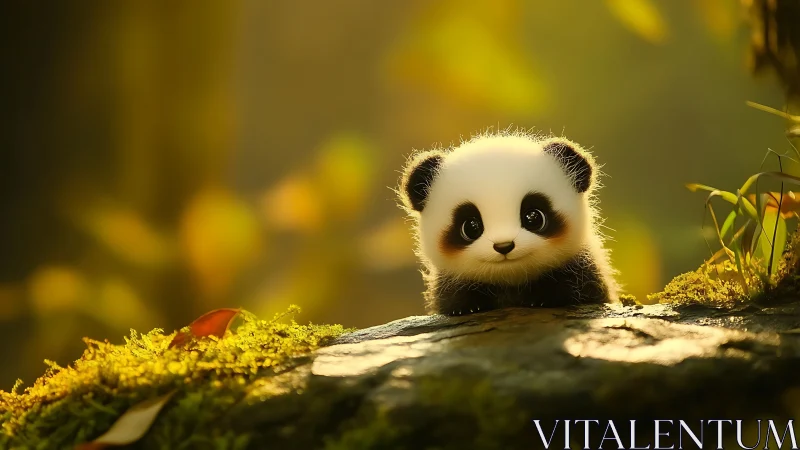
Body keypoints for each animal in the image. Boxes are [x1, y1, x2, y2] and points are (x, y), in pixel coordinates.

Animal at [398, 130, 619, 316]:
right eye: (471, 226)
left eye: (534, 217)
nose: (504, 246)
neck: (511, 283)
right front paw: (467, 307)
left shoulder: (585, 274)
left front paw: (545, 298)